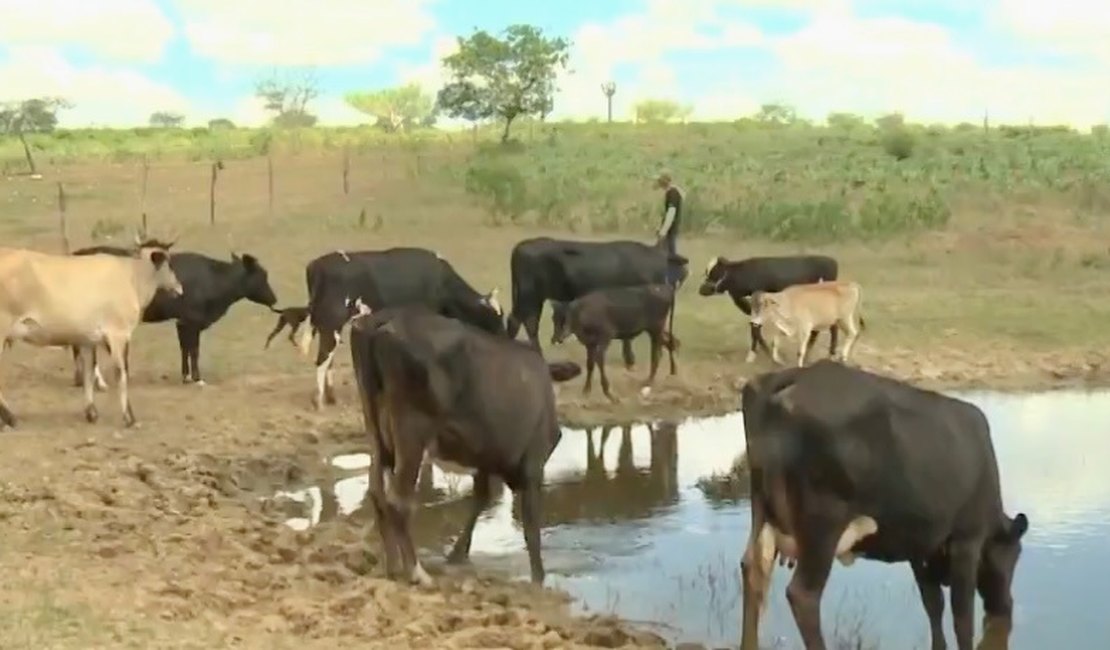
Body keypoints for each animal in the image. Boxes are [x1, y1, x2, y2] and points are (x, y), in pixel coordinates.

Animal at [68, 240, 277, 388]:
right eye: (263, 275)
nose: (275, 299)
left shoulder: (182, 321)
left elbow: (184, 348)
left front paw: (186, 377)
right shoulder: (192, 320)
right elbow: (194, 349)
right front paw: (198, 379)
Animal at [295, 245, 503, 408]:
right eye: (494, 319)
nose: (503, 336)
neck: (442, 283)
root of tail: (316, 266)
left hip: (325, 323)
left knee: (328, 357)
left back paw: (330, 397)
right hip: (331, 321)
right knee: (323, 357)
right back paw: (318, 400)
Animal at [503, 235, 683, 366]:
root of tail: (522, 246)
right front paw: (630, 359)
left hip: (527, 297)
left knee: (518, 320)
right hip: (529, 295)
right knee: (527, 322)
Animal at [697, 254, 834, 363]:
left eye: (715, 273)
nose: (701, 290)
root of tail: (830, 260)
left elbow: (755, 328)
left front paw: (766, 354)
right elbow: (754, 327)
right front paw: (754, 354)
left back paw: (829, 355)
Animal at [741, 359, 1025, 647]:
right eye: (1013, 556)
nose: (1005, 607)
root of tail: (794, 377)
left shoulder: (920, 546)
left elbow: (933, 604)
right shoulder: (967, 539)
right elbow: (962, 616)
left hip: (763, 512)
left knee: (753, 571)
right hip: (823, 523)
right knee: (803, 594)